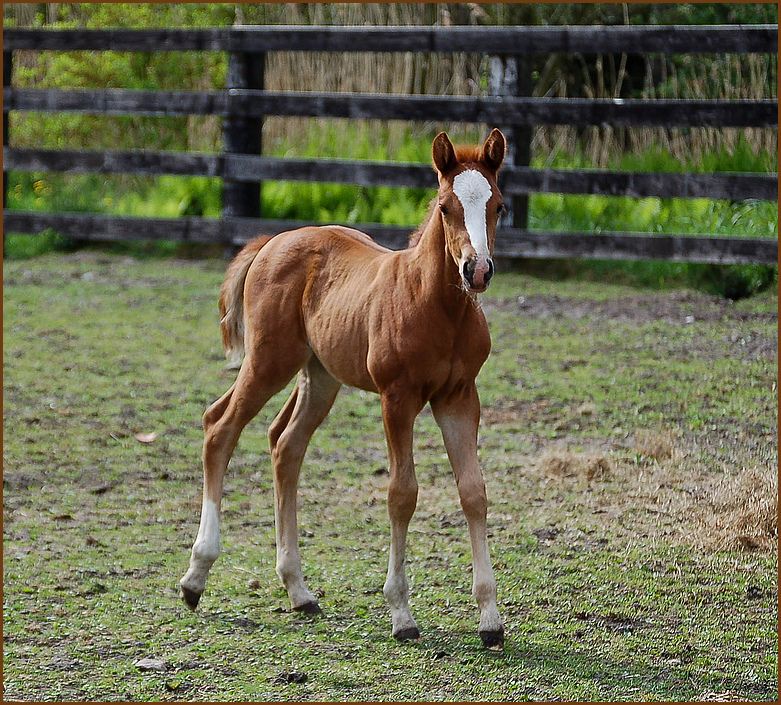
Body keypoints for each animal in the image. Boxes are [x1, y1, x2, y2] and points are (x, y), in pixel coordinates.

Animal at [184, 128, 512, 648]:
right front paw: (401, 615)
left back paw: (299, 591)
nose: (476, 271)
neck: (436, 306)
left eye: (498, 205)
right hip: (269, 362)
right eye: (445, 207)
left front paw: (490, 621)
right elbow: (402, 494)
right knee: (219, 426)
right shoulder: (397, 398)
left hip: (320, 376)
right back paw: (195, 579)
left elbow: (473, 492)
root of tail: (272, 242)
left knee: (285, 444)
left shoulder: (459, 397)